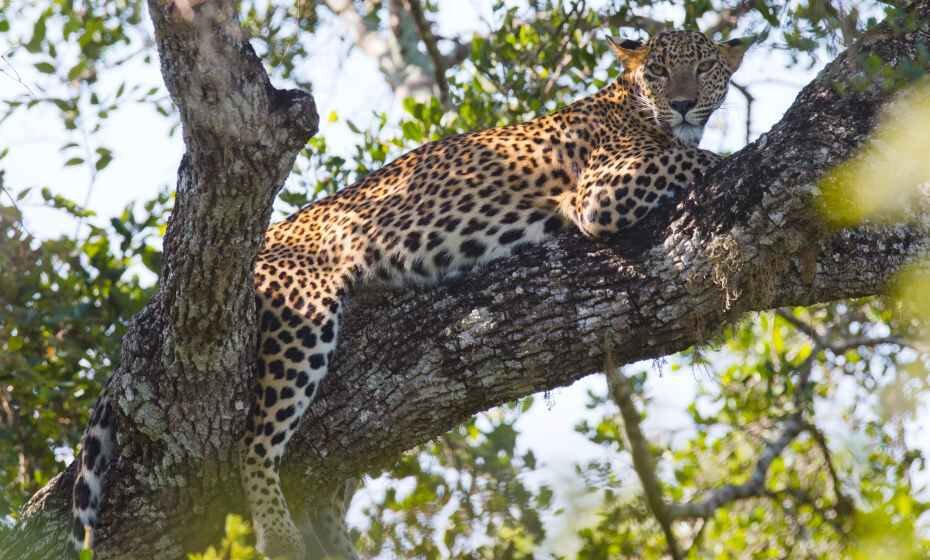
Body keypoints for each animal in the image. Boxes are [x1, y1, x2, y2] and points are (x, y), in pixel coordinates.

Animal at [72, 29, 752, 560]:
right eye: (659, 70)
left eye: (705, 68)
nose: (684, 104)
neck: (634, 104)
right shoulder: (602, 192)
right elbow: (697, 160)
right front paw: (727, 153)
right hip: (302, 312)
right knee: (255, 443)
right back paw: (277, 531)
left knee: (329, 480)